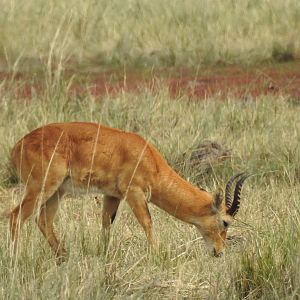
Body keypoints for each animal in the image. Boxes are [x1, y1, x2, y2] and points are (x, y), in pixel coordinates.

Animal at [8, 123, 250, 258]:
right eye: (225, 222)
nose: (219, 252)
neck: (147, 157)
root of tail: (18, 145)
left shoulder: (112, 196)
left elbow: (106, 225)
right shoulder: (134, 193)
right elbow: (147, 222)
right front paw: (157, 255)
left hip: (57, 192)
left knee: (43, 221)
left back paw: (63, 257)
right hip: (41, 188)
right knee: (15, 217)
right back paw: (15, 259)